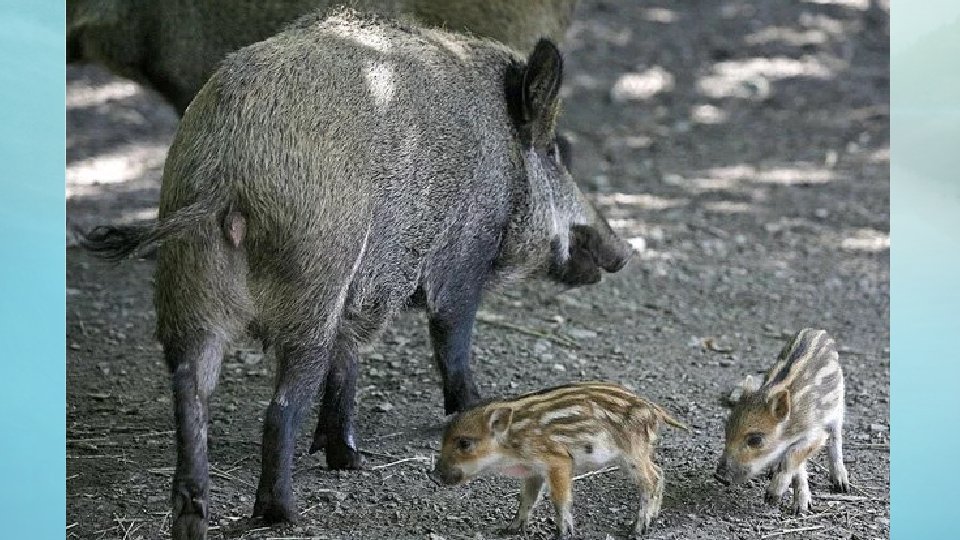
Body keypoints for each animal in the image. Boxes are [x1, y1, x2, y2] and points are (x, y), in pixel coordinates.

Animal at [82, 11, 630, 540]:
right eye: (554, 155)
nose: (622, 253)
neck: (506, 165)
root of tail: (226, 177)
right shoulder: (459, 258)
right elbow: (450, 340)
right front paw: (475, 404)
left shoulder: (362, 296)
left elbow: (348, 369)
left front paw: (348, 459)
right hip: (311, 286)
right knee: (280, 409)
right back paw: (283, 515)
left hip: (188, 289)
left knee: (191, 390)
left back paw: (194, 520)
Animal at [430, 381, 688, 538]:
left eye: (464, 443)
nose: (433, 475)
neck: (513, 440)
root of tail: (654, 410)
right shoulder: (533, 471)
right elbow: (527, 499)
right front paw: (510, 529)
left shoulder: (559, 461)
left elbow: (560, 500)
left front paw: (563, 533)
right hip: (636, 454)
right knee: (659, 472)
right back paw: (652, 517)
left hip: (633, 453)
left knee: (651, 481)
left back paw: (637, 529)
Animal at [715, 328, 851, 515]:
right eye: (726, 431)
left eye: (756, 440)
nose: (719, 477)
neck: (790, 424)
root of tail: (818, 331)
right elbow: (798, 467)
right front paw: (799, 506)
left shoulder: (815, 434)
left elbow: (793, 458)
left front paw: (773, 497)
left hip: (838, 408)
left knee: (836, 440)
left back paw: (841, 483)